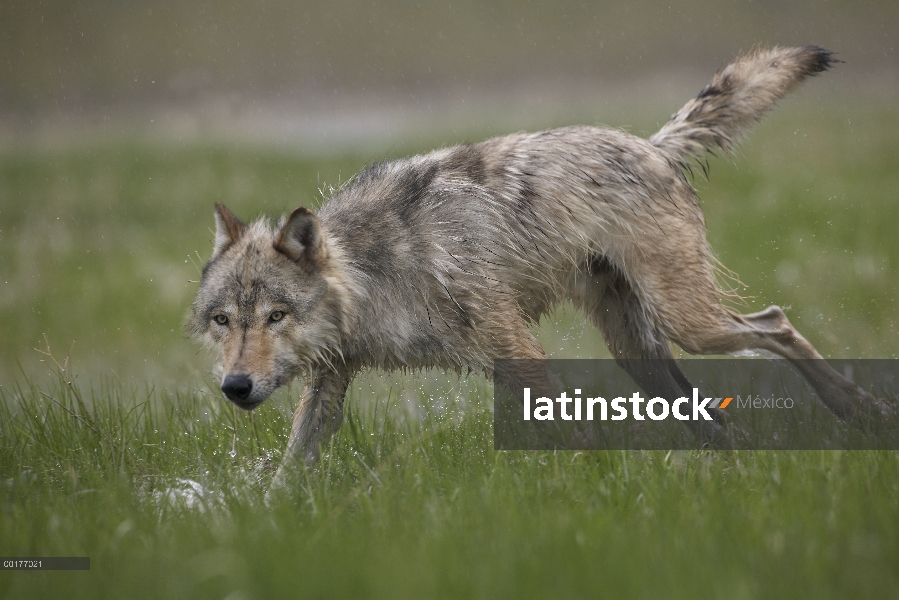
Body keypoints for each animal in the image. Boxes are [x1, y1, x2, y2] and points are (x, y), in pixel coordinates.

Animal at [186, 47, 888, 488]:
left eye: (276, 315)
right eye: (224, 321)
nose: (235, 387)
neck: (374, 273)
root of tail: (651, 145)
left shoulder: (518, 353)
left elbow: (566, 436)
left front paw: (586, 484)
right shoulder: (331, 383)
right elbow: (288, 476)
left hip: (691, 325)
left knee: (776, 323)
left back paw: (861, 410)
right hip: (642, 353)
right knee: (713, 411)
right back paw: (740, 462)